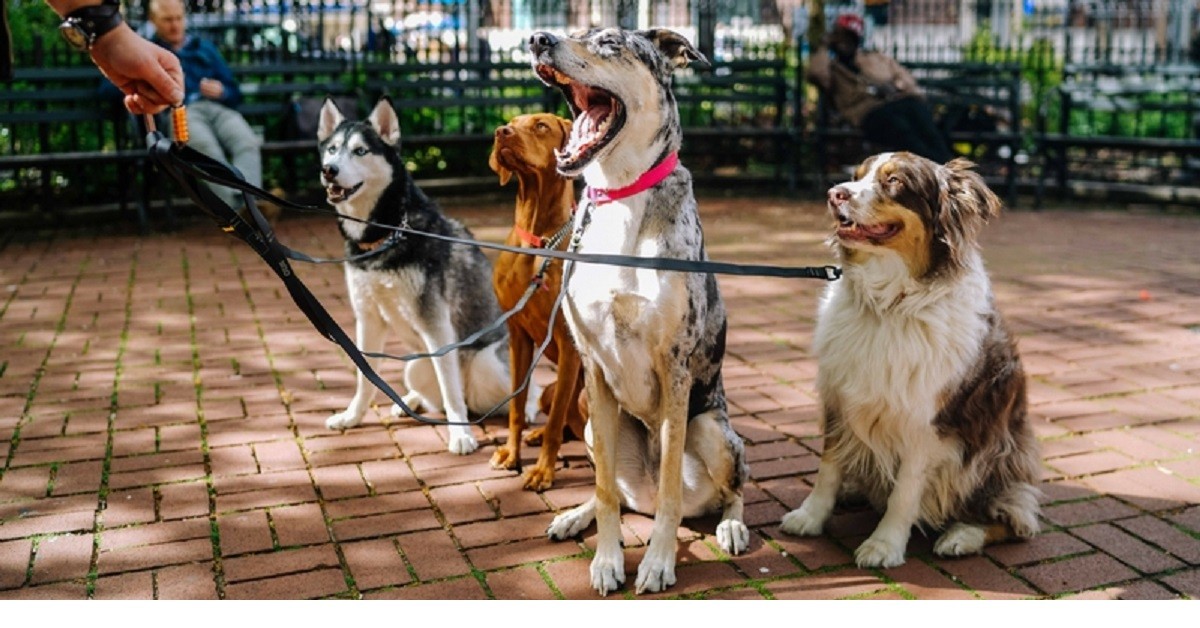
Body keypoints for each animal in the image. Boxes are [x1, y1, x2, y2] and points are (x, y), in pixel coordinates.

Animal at [316, 97, 532, 451]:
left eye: (360, 151)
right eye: (332, 149)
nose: (329, 170)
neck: (386, 234)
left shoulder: (436, 323)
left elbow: (449, 386)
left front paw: (460, 435)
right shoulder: (367, 318)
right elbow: (364, 377)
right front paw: (352, 416)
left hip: (486, 364)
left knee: (514, 391)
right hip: (416, 365)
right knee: (437, 396)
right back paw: (411, 401)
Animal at [484, 112, 583, 492]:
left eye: (541, 125)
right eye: (510, 122)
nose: (501, 132)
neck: (537, 241)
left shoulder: (569, 344)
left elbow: (555, 422)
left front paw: (542, 471)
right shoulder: (518, 336)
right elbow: (516, 407)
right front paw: (510, 454)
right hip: (548, 389)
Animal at [782, 152, 1046, 569]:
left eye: (895, 182)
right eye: (857, 176)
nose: (834, 194)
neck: (889, 305)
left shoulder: (928, 425)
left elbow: (905, 492)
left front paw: (884, 544)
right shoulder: (839, 397)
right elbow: (828, 466)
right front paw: (811, 516)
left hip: (998, 453)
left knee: (1018, 519)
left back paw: (962, 536)